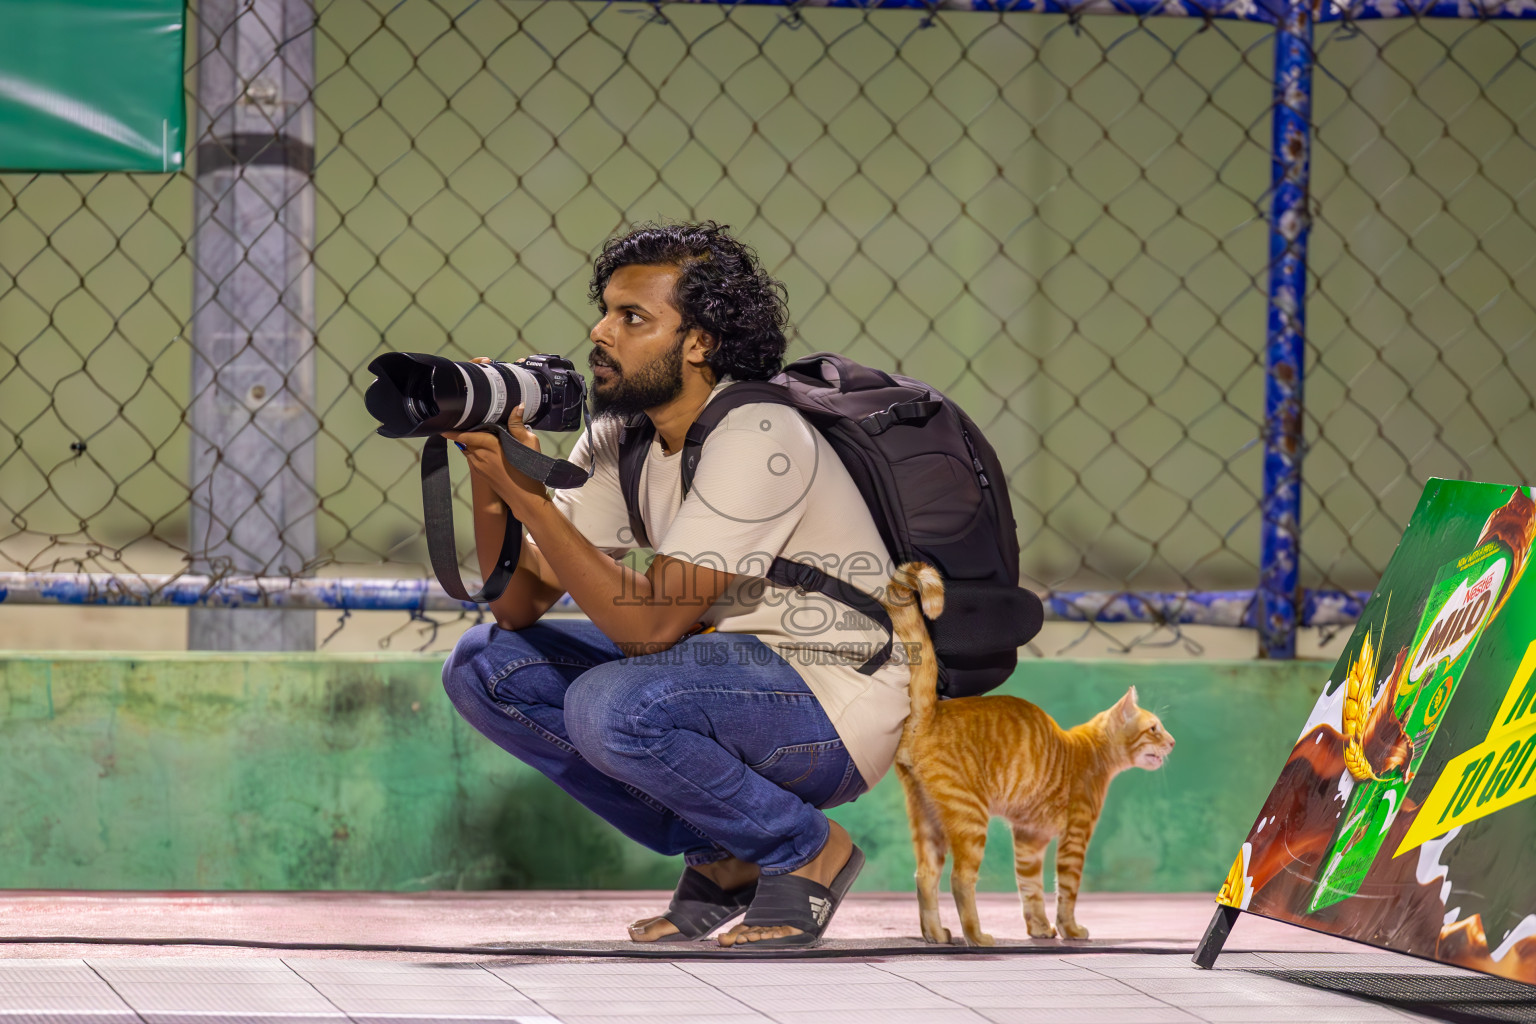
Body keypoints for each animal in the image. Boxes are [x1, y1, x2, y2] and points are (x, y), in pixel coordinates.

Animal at [890, 564, 1173, 951]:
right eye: (1155, 729)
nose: (1173, 742)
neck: (1091, 750)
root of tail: (932, 709)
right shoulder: (1074, 838)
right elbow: (1067, 891)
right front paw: (1070, 930)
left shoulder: (1030, 839)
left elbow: (1031, 889)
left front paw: (1038, 928)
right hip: (970, 818)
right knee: (960, 879)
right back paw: (976, 936)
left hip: (928, 820)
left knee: (924, 876)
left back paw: (935, 934)